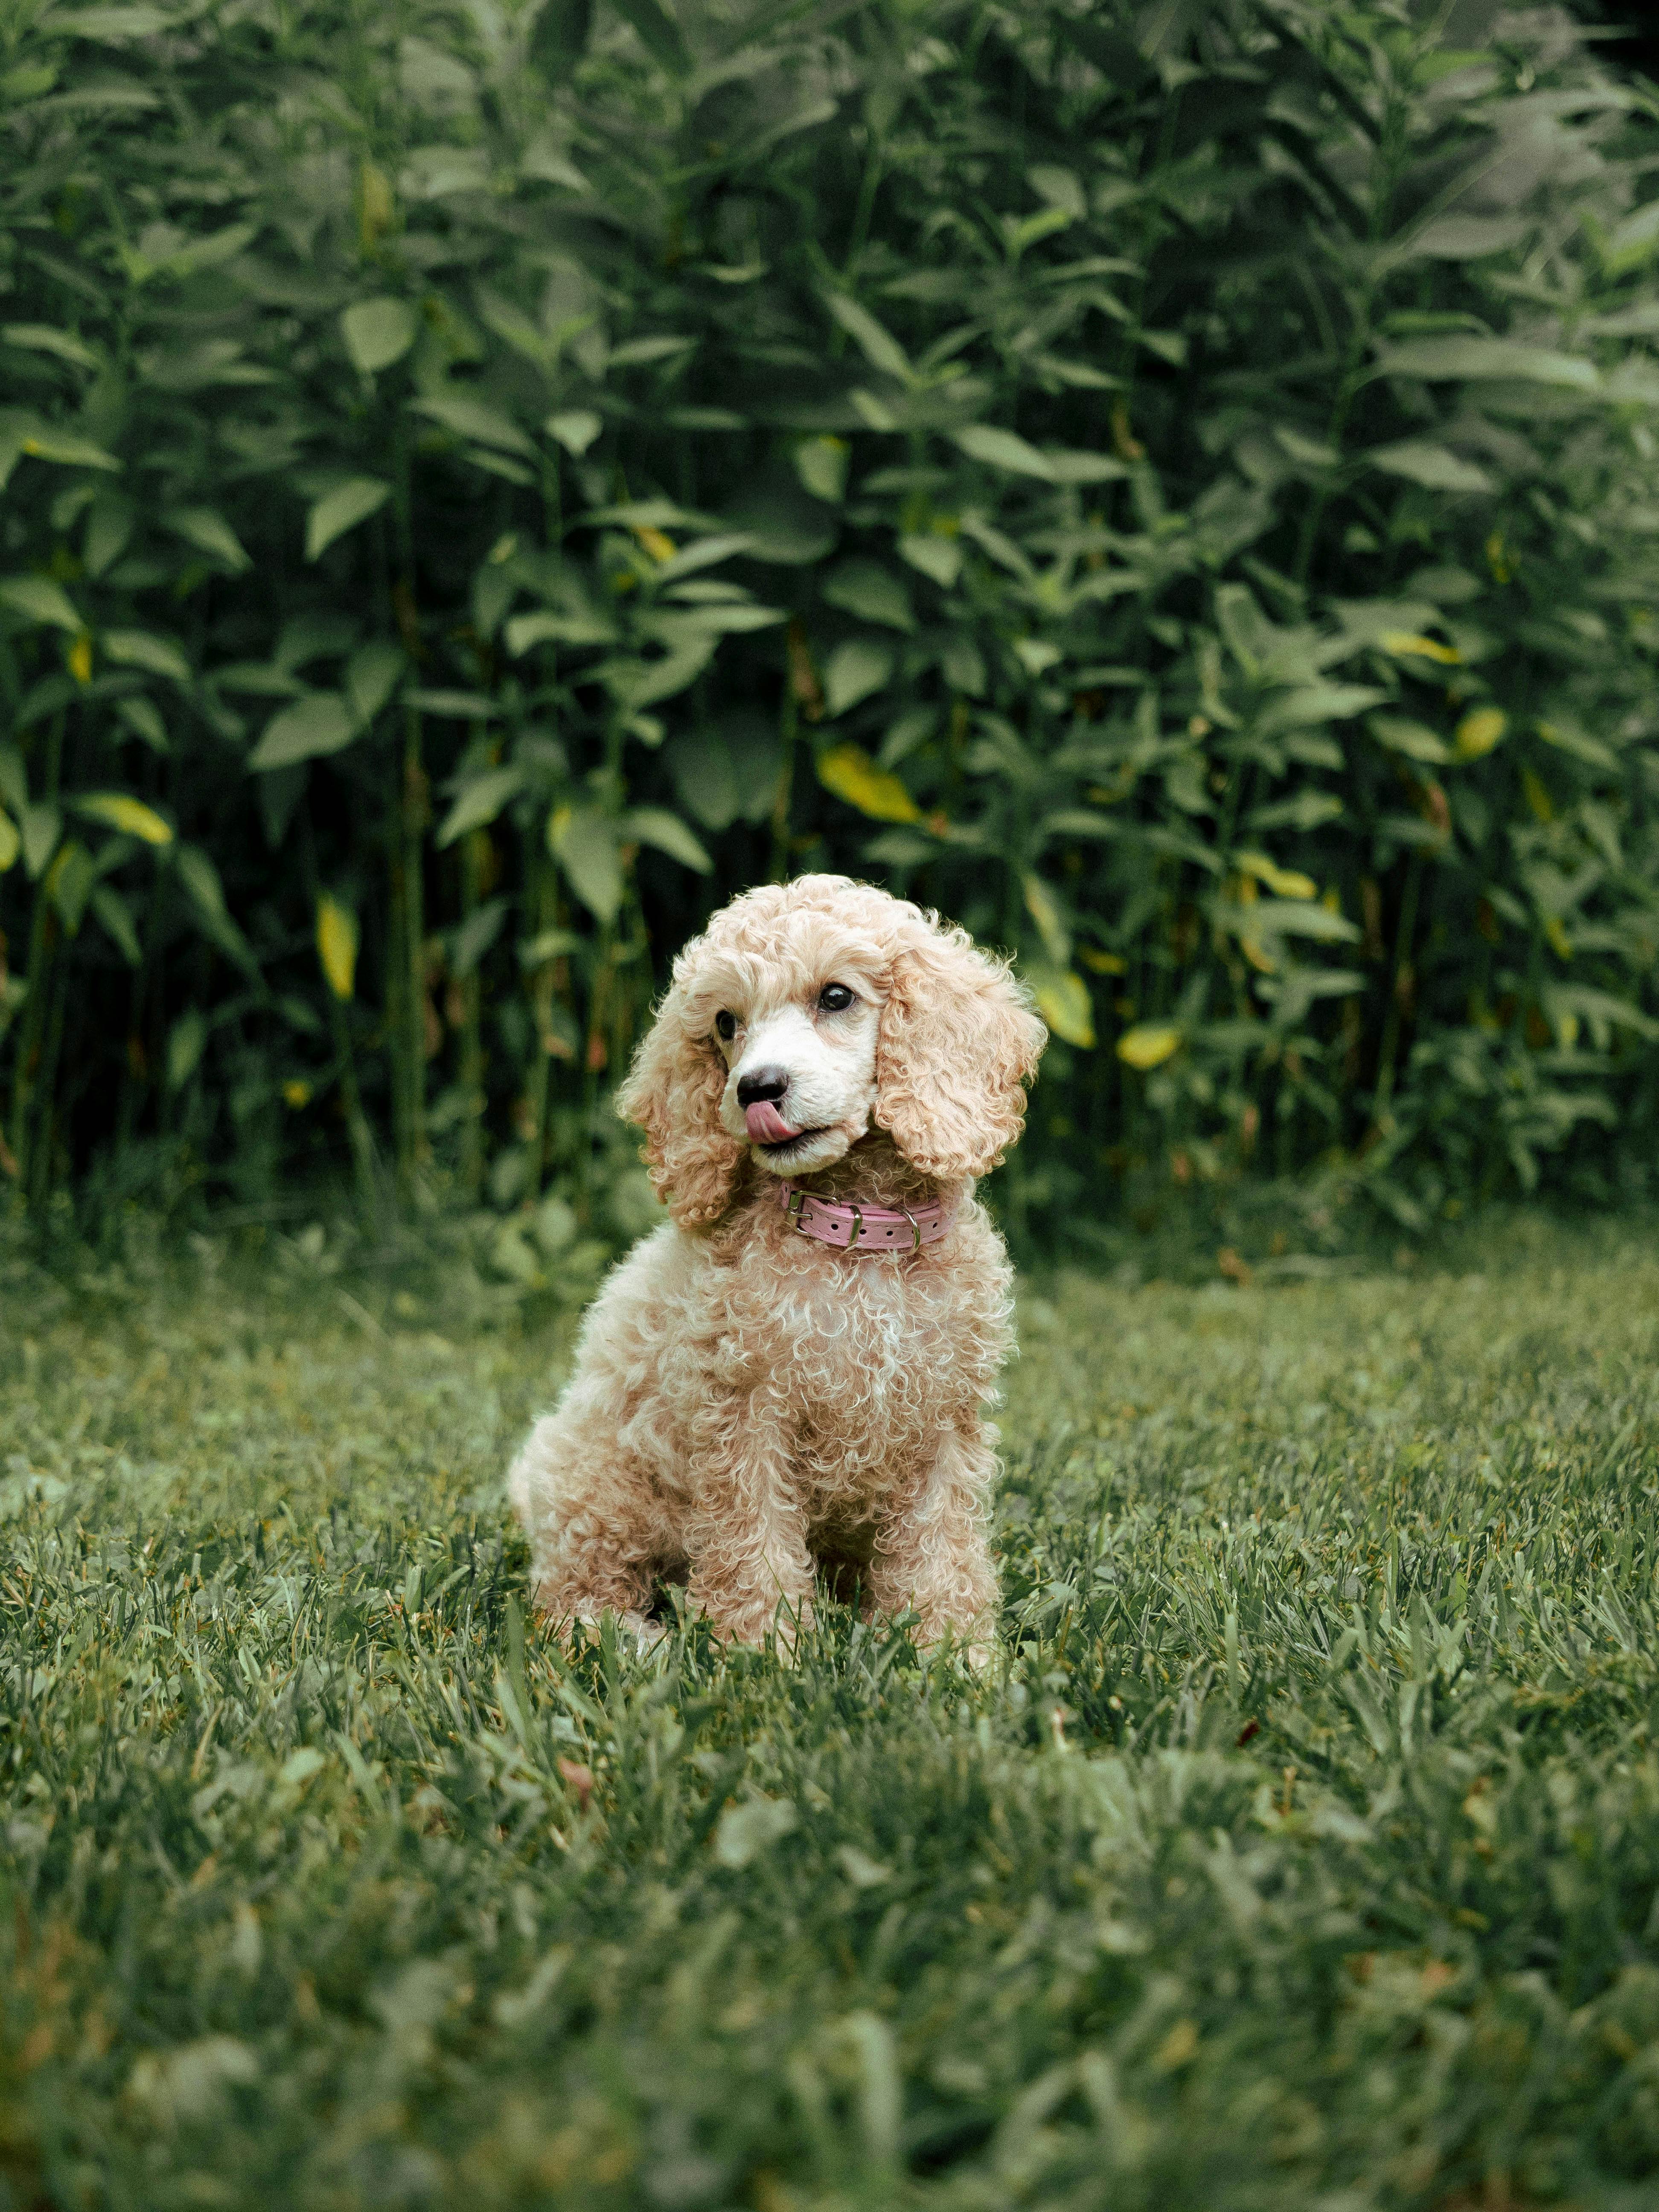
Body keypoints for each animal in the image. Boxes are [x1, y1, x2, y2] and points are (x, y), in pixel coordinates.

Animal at [511, 871, 1053, 1654]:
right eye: (725, 1023)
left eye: (836, 997)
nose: (755, 1088)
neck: (857, 1237)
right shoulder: (743, 1415)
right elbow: (752, 1542)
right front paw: (764, 1651)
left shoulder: (942, 1419)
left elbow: (940, 1545)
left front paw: (949, 1650)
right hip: (598, 1484)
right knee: (571, 1596)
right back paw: (633, 1640)